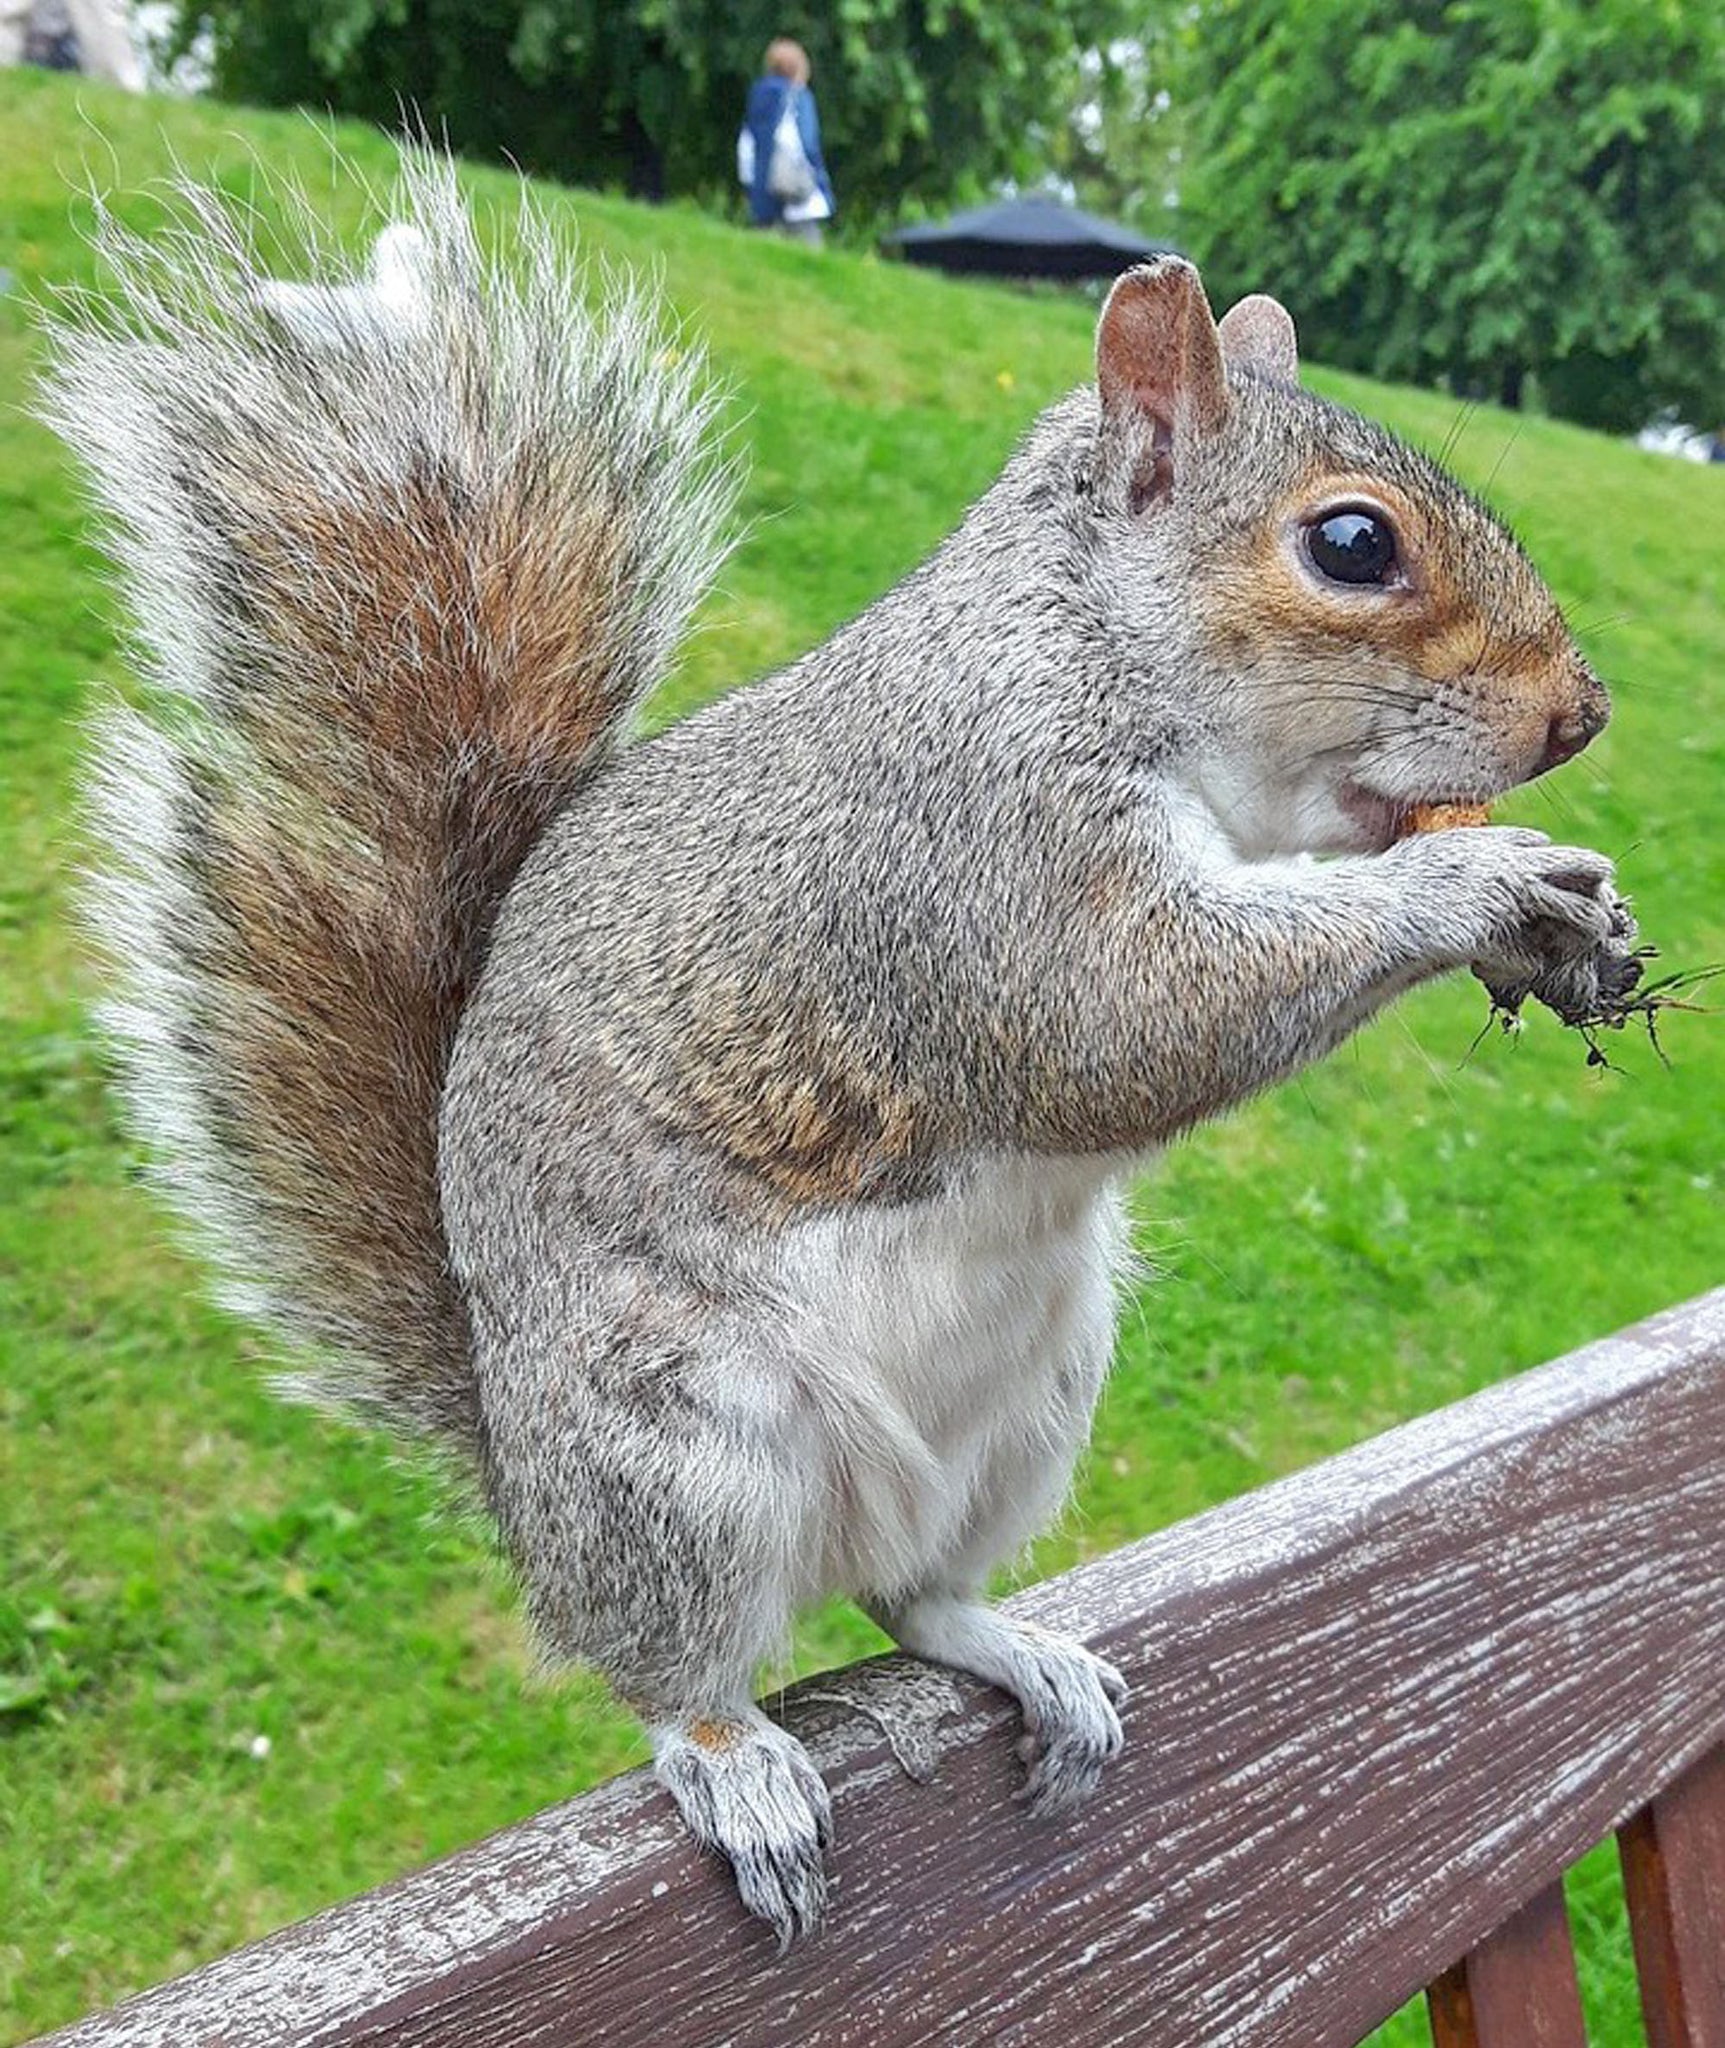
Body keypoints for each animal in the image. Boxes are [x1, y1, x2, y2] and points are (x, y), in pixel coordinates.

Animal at [44, 152, 1621, 1946]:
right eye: (1351, 543)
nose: (1581, 712)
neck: (1077, 644)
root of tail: (516, 1475)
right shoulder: (976, 859)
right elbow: (1124, 1018)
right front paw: (1472, 883)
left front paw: (1572, 916)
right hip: (674, 1443)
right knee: (666, 1661)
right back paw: (729, 1753)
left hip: (1035, 1395)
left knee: (911, 1597)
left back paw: (1013, 1649)